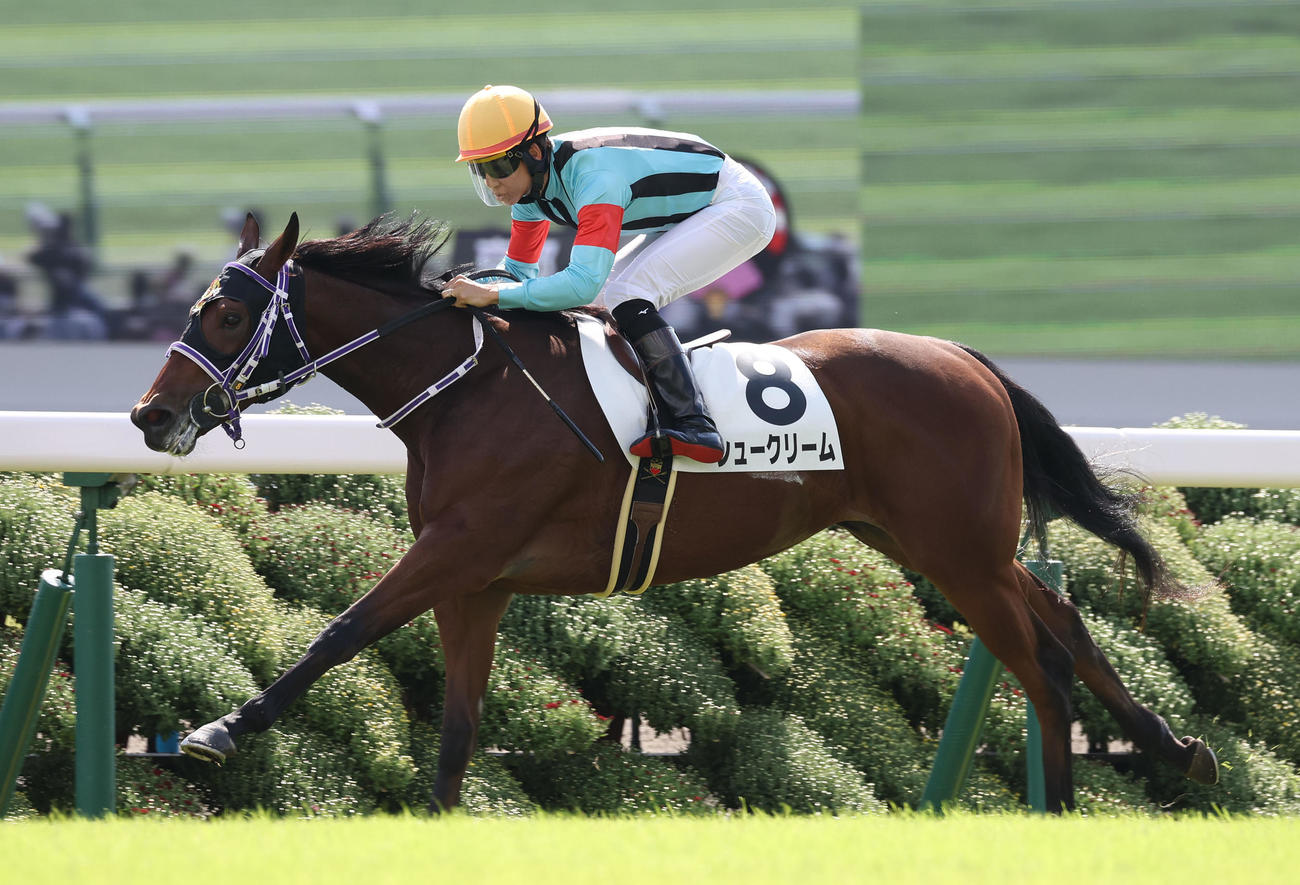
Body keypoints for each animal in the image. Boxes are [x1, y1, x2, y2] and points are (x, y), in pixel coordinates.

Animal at [130, 211, 1218, 814]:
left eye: (226, 313)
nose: (149, 415)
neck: (467, 390)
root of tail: (965, 359)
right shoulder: (476, 582)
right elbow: (456, 728)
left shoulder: (457, 549)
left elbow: (340, 631)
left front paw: (219, 728)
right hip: (932, 539)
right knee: (1062, 621)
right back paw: (1178, 750)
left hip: (957, 551)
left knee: (1038, 665)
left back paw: (1067, 808)